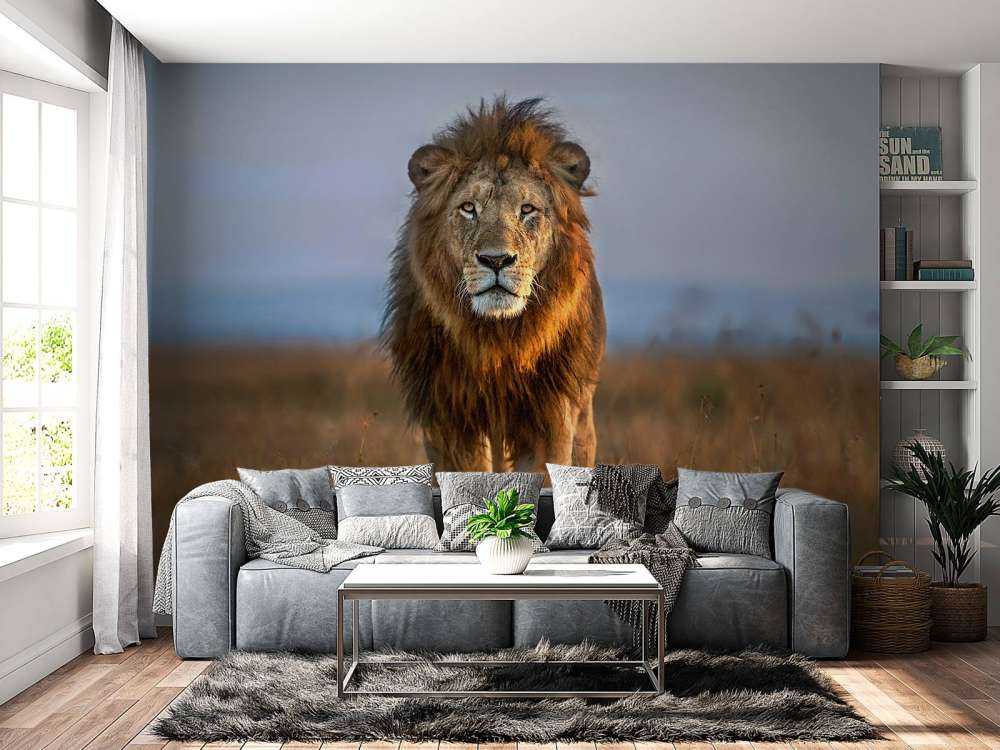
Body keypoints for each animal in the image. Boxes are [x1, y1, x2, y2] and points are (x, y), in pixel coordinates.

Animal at [381, 96, 606, 472]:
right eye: (468, 208)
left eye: (527, 209)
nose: (497, 260)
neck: (498, 339)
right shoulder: (449, 417)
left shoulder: (551, 412)